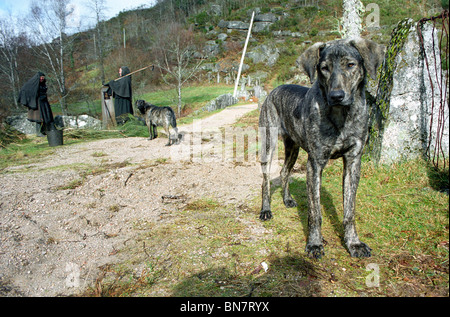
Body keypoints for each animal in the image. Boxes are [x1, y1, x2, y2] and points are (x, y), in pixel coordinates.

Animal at [258, 38, 384, 258]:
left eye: (350, 65)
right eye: (324, 68)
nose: (336, 95)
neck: (341, 116)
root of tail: (274, 90)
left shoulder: (353, 162)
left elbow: (349, 211)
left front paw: (353, 243)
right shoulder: (315, 164)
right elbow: (315, 212)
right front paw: (315, 244)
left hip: (293, 147)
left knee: (284, 172)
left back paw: (287, 199)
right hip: (268, 144)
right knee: (265, 180)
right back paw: (266, 210)